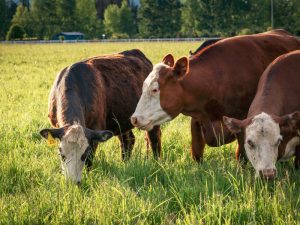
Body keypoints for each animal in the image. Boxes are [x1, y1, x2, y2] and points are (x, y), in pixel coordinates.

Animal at [40, 48, 162, 183]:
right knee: (128, 140)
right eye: (62, 154)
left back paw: (156, 164)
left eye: (84, 154)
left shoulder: (95, 130)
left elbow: (90, 161)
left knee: (154, 139)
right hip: (120, 120)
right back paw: (125, 163)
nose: (73, 182)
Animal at [130, 30, 300, 163]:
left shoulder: (242, 122)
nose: (134, 118)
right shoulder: (197, 121)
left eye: (155, 90)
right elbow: (197, 154)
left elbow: (242, 156)